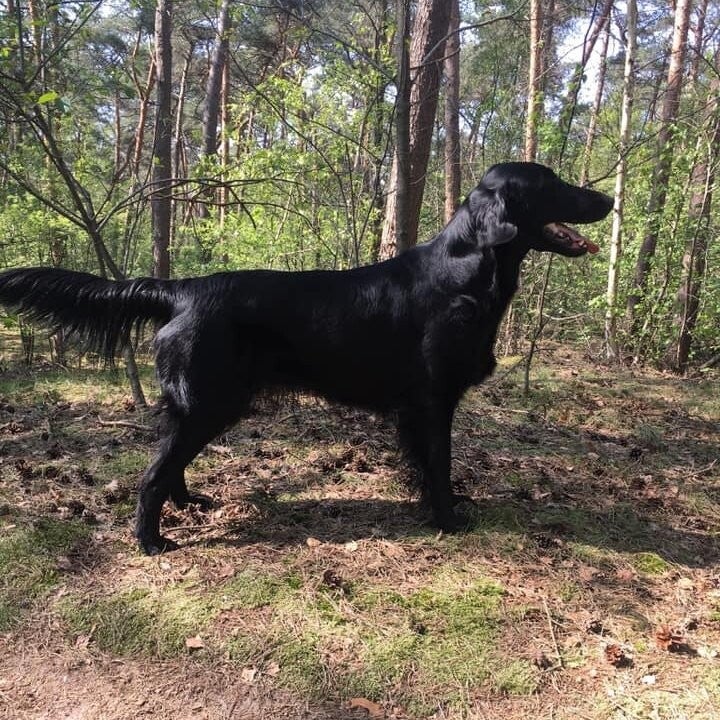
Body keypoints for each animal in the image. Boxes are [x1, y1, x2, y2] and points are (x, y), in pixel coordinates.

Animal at [0, 162, 613, 554]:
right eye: (551, 182)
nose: (608, 200)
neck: (465, 272)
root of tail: (184, 289)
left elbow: (427, 465)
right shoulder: (431, 400)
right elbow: (438, 463)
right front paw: (449, 518)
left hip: (205, 406)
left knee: (169, 463)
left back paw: (190, 504)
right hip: (210, 402)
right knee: (153, 474)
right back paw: (151, 540)